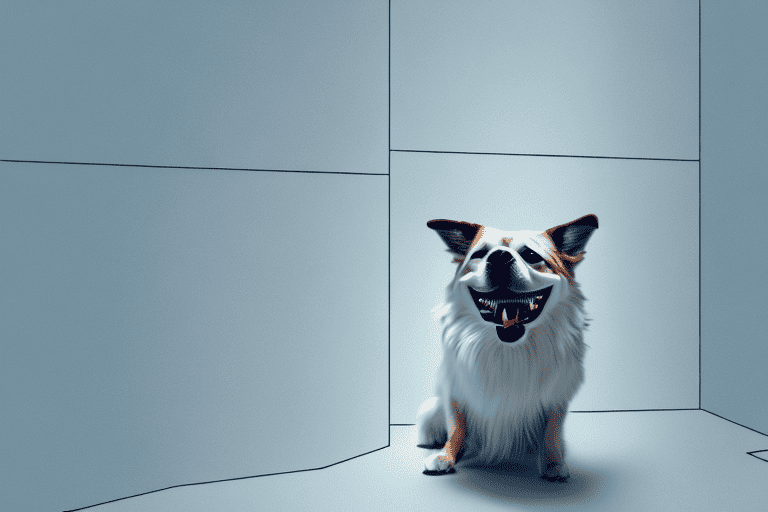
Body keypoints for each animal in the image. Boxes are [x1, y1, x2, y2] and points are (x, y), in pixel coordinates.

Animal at [416, 213, 596, 480]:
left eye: (531, 255)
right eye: (480, 254)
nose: (499, 257)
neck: (508, 350)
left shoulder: (556, 396)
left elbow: (551, 432)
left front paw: (553, 462)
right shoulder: (457, 390)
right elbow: (457, 426)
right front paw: (446, 456)